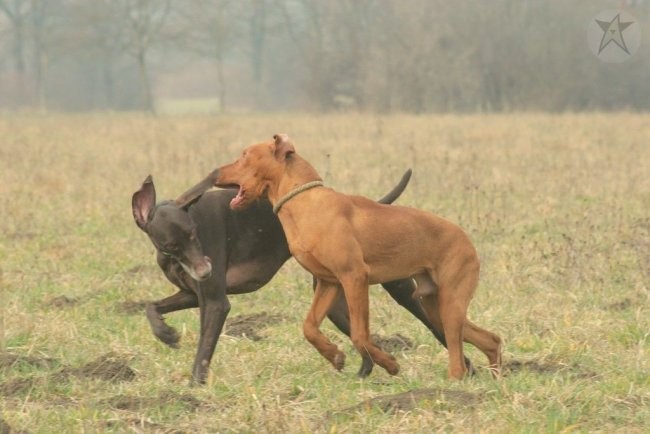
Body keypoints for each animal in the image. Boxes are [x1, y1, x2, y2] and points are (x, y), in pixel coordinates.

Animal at [205, 134, 498, 378]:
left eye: (244, 154)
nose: (214, 173)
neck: (305, 203)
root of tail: (466, 238)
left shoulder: (354, 277)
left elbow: (359, 334)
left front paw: (389, 364)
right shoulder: (329, 283)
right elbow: (309, 327)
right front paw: (334, 355)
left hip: (450, 304)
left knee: (458, 355)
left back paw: (455, 381)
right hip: (435, 306)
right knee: (490, 339)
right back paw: (496, 374)